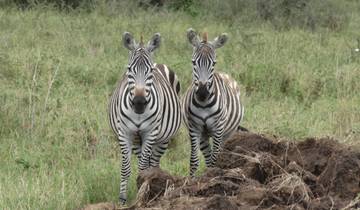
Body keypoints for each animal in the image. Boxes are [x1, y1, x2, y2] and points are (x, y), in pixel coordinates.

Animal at [108, 31, 181, 203]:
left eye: (150, 72)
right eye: (129, 70)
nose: (139, 102)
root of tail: (160, 63)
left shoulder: (150, 133)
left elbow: (142, 168)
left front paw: (140, 195)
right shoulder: (125, 133)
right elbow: (125, 167)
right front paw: (122, 199)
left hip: (162, 138)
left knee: (153, 162)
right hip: (137, 139)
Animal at [181, 28, 246, 177]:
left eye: (213, 63)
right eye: (193, 62)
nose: (202, 93)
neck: (204, 104)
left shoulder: (218, 128)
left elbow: (216, 158)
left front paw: (213, 176)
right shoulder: (194, 128)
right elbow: (194, 160)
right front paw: (191, 180)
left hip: (227, 133)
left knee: (219, 153)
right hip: (204, 135)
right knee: (208, 156)